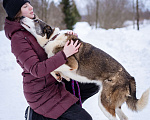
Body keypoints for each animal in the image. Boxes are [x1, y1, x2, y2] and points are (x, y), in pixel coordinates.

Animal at [20, 16, 149, 120]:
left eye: (36, 20)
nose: (21, 17)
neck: (53, 38)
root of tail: (129, 77)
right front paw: (62, 76)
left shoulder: (72, 64)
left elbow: (51, 65)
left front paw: (59, 75)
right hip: (113, 103)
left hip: (104, 102)